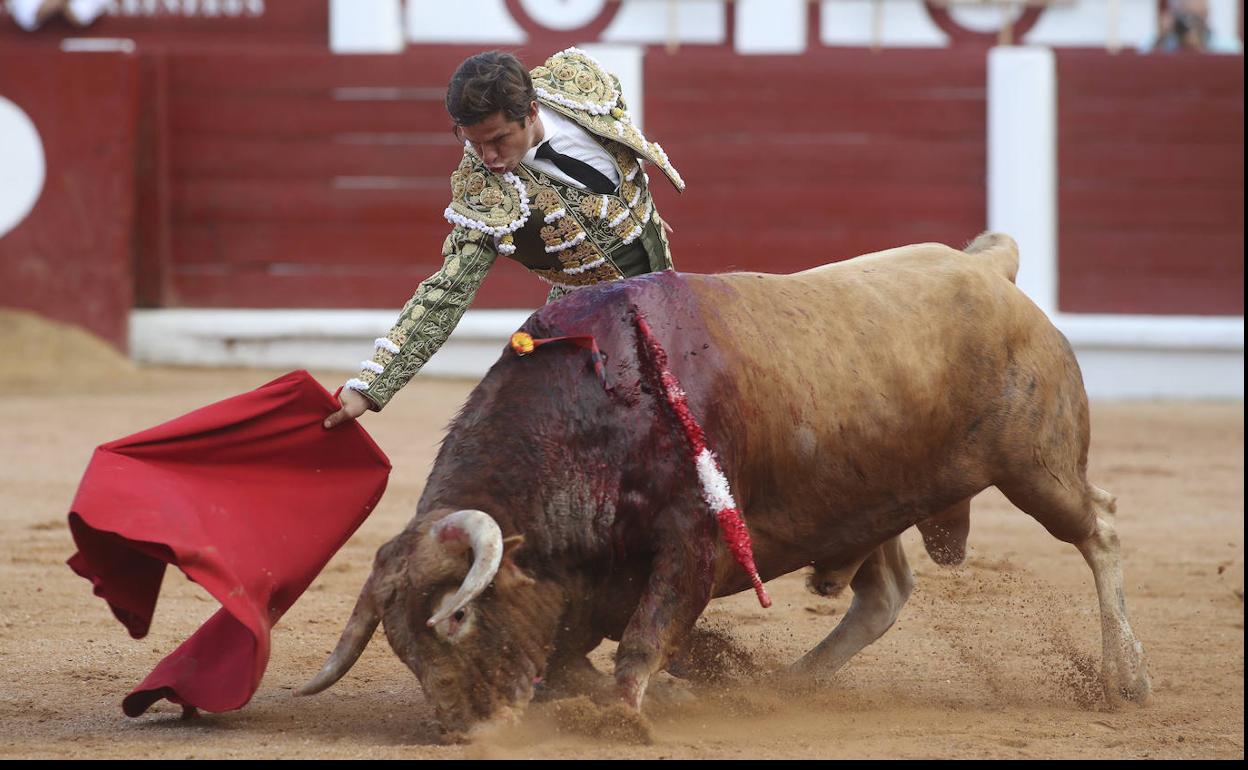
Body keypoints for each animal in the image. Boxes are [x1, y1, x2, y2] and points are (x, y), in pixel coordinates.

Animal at [299, 234, 1148, 738]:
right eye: (401, 646)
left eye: (458, 619)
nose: (464, 732)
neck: (599, 408)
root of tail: (986, 267)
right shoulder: (591, 580)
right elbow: (572, 659)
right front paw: (677, 690)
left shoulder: (690, 542)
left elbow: (643, 640)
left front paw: (626, 717)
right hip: (867, 497)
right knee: (884, 595)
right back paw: (788, 686)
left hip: (1036, 464)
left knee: (1101, 527)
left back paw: (1128, 677)